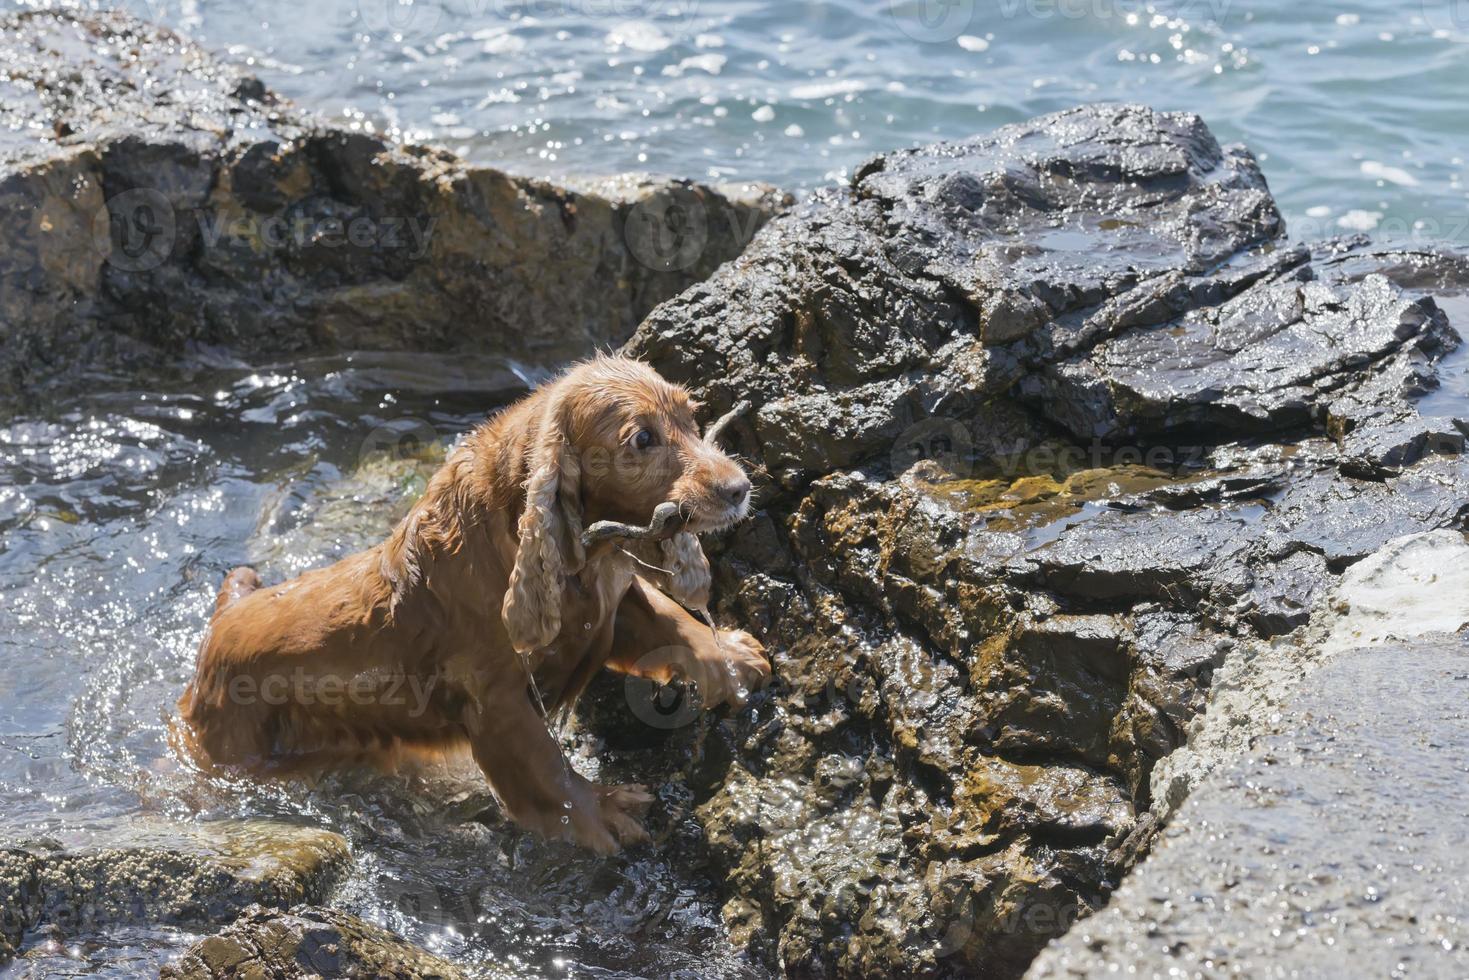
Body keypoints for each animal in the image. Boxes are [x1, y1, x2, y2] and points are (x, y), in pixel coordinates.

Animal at [174, 357, 769, 852]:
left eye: (691, 417)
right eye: (643, 438)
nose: (739, 487)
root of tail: (224, 616)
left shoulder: (608, 604)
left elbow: (667, 619)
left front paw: (729, 658)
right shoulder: (496, 697)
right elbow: (544, 765)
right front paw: (601, 810)